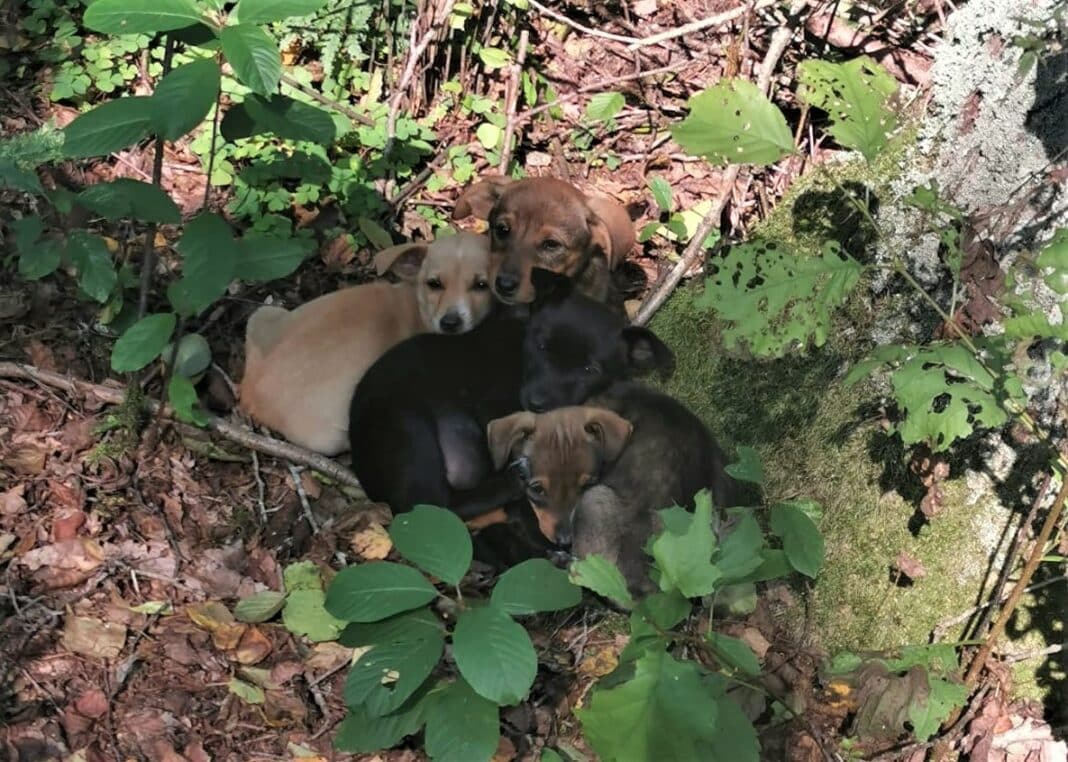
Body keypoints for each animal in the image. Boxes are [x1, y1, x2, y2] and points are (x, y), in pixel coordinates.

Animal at [240, 231, 497, 455]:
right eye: (434, 283)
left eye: (482, 285)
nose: (449, 323)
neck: (420, 308)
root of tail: (251, 396)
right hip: (330, 437)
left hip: (262, 315)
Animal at [346, 267, 670, 523]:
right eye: (541, 346)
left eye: (590, 369)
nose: (536, 403)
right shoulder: (494, 406)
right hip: (409, 431)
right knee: (429, 507)